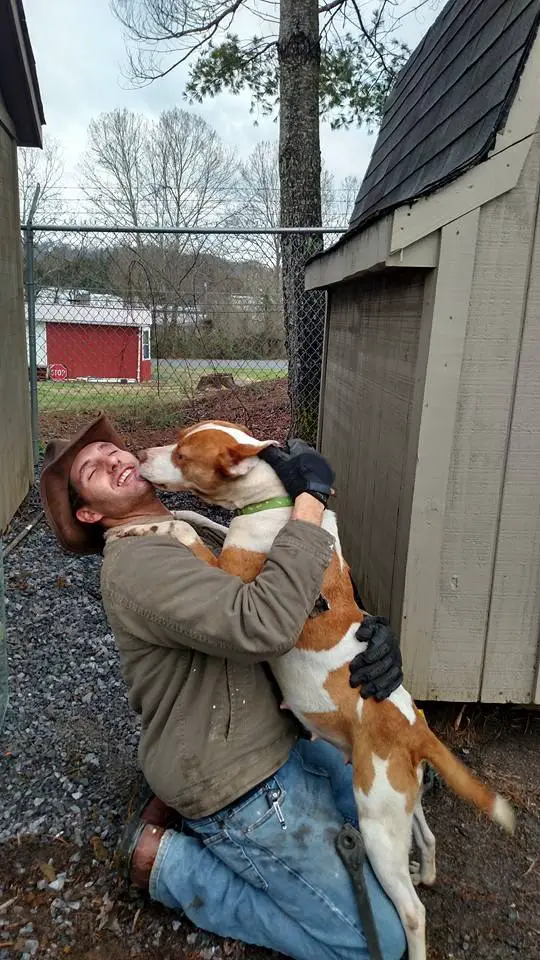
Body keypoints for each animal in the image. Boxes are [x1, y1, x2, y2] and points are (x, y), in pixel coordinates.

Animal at [138, 420, 516, 960]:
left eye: (183, 455)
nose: (140, 456)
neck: (274, 503)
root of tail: (416, 729)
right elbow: (202, 519)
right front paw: (172, 514)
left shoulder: (235, 588)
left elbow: (195, 538)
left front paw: (160, 527)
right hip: (399, 803)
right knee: (427, 836)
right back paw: (427, 870)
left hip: (376, 825)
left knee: (412, 913)